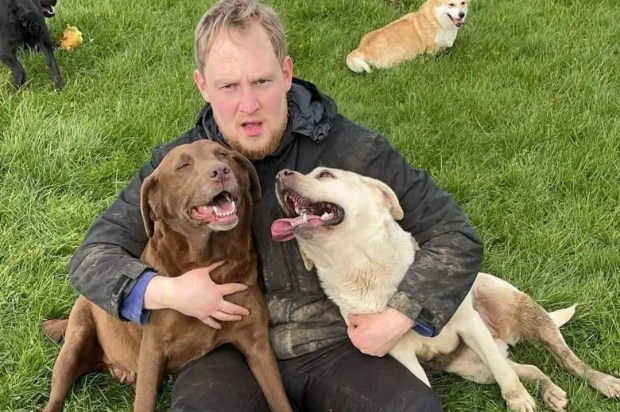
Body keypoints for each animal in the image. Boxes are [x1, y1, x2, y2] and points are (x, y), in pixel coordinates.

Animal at [41, 141, 294, 412]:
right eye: (183, 165)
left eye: (223, 154)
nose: (221, 171)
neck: (211, 263)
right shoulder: (152, 350)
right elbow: (144, 402)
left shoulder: (258, 344)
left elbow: (280, 399)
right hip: (76, 340)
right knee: (56, 394)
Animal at [272, 167, 620, 412]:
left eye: (324, 174)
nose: (280, 174)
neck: (361, 267)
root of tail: (504, 339)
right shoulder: (402, 355)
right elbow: (425, 384)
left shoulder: (469, 325)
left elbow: (508, 377)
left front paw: (518, 401)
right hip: (476, 369)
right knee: (529, 367)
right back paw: (552, 392)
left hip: (524, 315)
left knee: (566, 361)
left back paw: (604, 383)